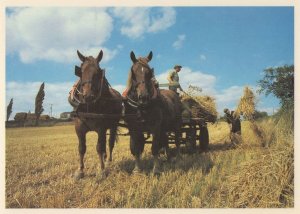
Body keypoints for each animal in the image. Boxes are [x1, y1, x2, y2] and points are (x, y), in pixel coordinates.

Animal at [72, 49, 122, 180]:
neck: (89, 107)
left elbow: (99, 147)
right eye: (81, 71)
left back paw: (108, 161)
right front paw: (80, 171)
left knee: (109, 143)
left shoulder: (101, 128)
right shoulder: (79, 128)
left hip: (113, 126)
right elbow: (81, 148)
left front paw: (102, 170)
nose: (88, 96)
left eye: (98, 72)